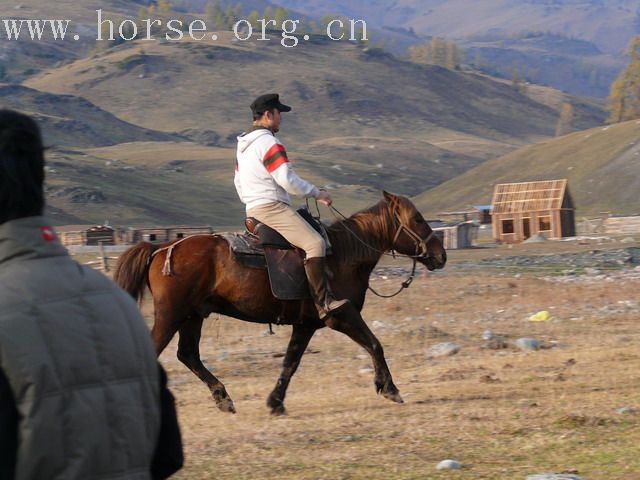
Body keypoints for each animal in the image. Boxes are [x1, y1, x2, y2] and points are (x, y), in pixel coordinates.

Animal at [115, 193, 444, 414]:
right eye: (417, 219)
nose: (440, 255)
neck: (342, 255)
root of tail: (162, 248)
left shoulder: (306, 325)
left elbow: (290, 362)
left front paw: (275, 402)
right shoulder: (340, 315)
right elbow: (375, 344)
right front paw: (390, 389)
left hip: (193, 316)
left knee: (188, 355)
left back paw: (224, 398)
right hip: (171, 316)